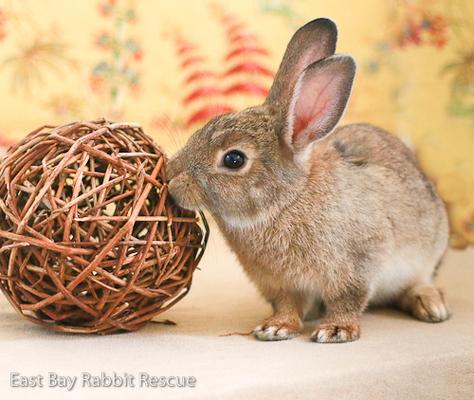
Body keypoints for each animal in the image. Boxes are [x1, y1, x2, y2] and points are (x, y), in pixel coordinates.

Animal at [168, 18, 452, 342]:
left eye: (234, 159)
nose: (171, 176)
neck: (287, 201)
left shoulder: (357, 265)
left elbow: (347, 300)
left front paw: (337, 330)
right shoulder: (280, 284)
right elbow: (287, 305)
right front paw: (275, 327)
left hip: (427, 253)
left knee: (419, 281)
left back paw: (431, 307)